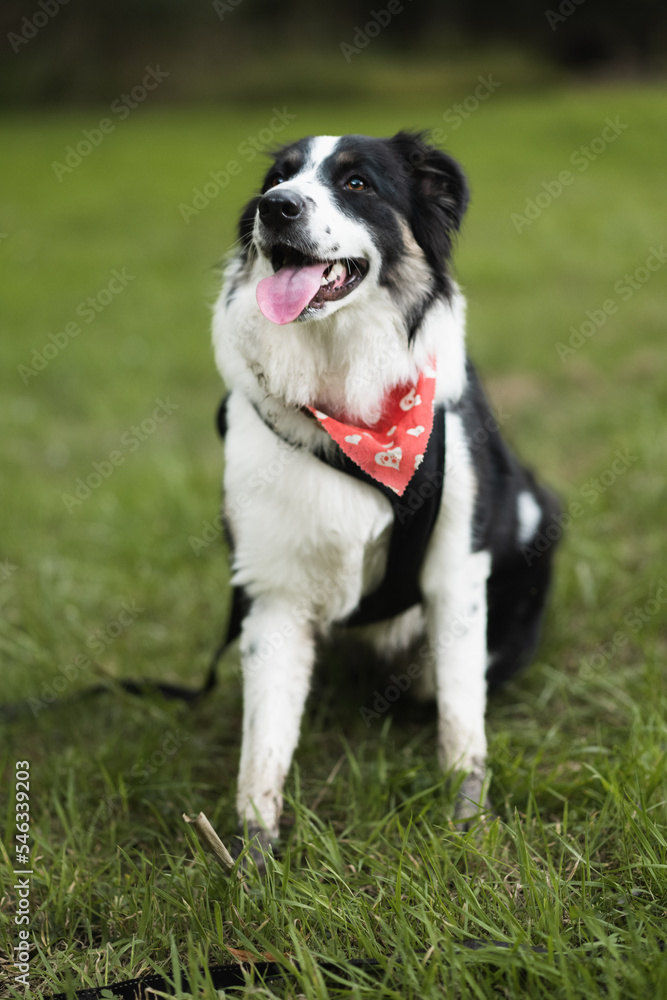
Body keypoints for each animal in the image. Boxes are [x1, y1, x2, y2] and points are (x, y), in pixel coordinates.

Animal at [213, 129, 560, 864]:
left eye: (357, 184)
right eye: (277, 178)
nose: (276, 208)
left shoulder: (457, 567)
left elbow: (460, 714)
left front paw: (469, 825)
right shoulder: (273, 589)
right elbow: (263, 745)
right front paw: (251, 857)